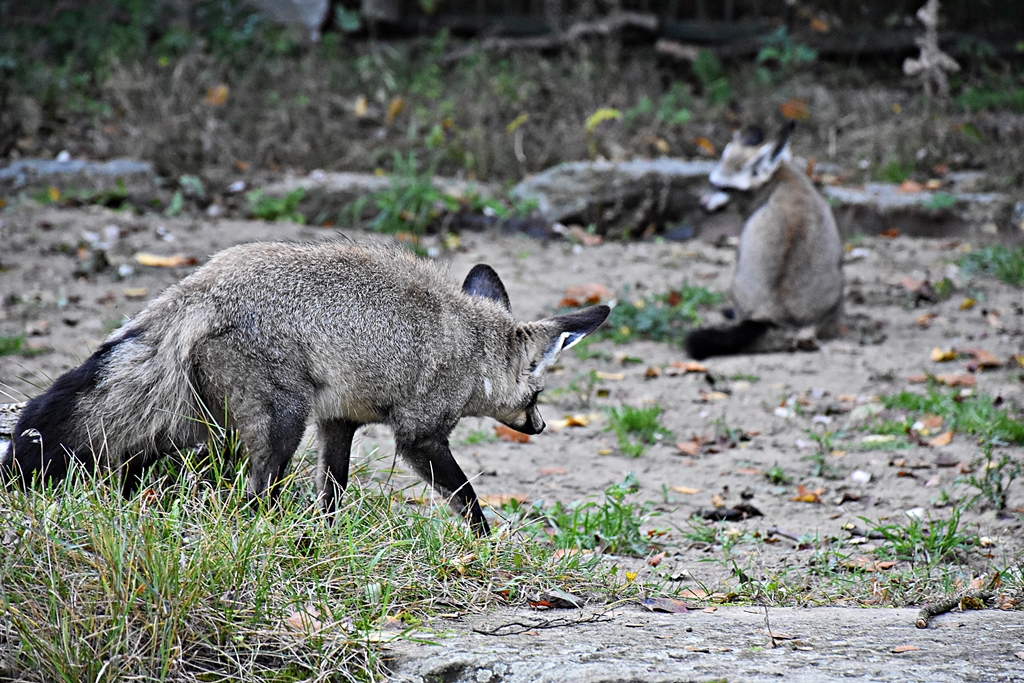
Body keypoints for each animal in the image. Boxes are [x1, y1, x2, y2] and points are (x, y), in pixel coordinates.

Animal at [1, 241, 610, 536]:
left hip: (202, 431)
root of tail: (198, 286)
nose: (540, 425)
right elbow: (468, 499)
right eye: (537, 397)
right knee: (252, 499)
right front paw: (487, 544)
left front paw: (326, 540)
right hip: (276, 428)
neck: (470, 346)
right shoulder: (418, 438)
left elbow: (332, 494)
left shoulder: (338, 422)